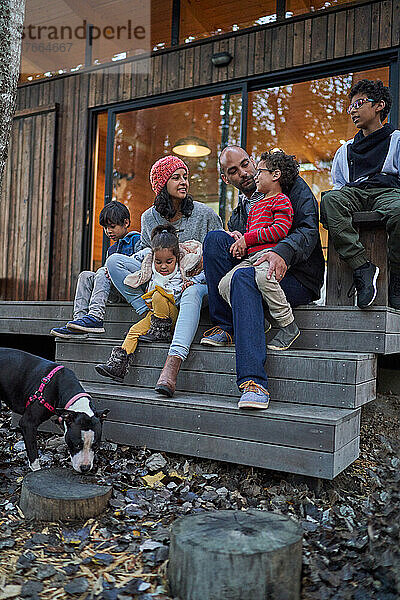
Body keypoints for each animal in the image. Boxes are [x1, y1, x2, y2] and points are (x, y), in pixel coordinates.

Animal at [0, 346, 108, 474]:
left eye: (95, 446)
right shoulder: (28, 424)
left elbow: (64, 433)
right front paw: (37, 471)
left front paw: (54, 442)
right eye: (77, 445)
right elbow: (33, 454)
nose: (85, 468)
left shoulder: (61, 416)